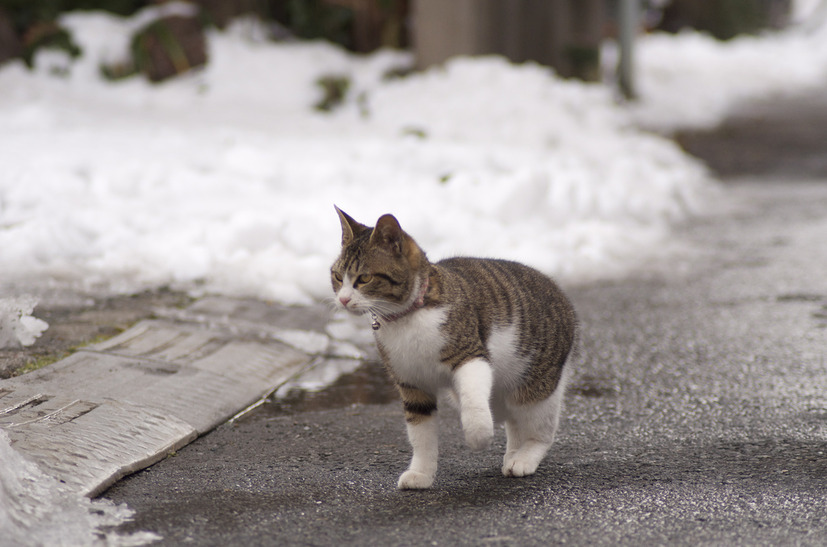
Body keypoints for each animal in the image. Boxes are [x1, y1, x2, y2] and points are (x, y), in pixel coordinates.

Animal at [330, 208, 576, 490]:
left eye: (364, 278)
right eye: (337, 277)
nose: (343, 299)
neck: (407, 318)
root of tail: (557, 289)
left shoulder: (469, 355)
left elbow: (473, 399)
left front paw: (478, 436)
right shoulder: (411, 382)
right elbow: (420, 434)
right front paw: (421, 473)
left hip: (537, 382)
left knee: (539, 427)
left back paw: (525, 457)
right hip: (500, 392)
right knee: (512, 419)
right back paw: (514, 452)